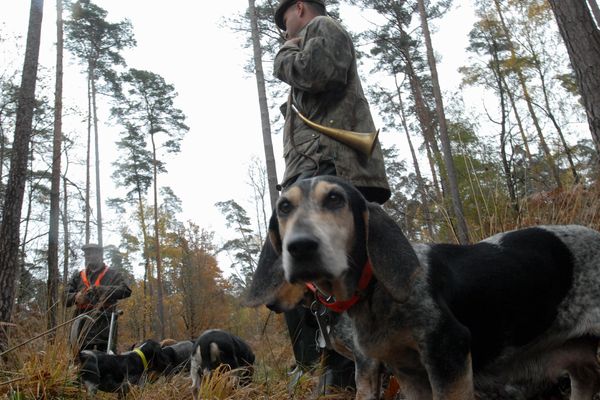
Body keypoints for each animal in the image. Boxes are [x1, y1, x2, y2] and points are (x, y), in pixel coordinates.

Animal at [251, 177, 600, 400]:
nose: (300, 247)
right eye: (284, 207)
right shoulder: (406, 373)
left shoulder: (446, 354)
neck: (373, 292)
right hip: (580, 363)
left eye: (335, 199)